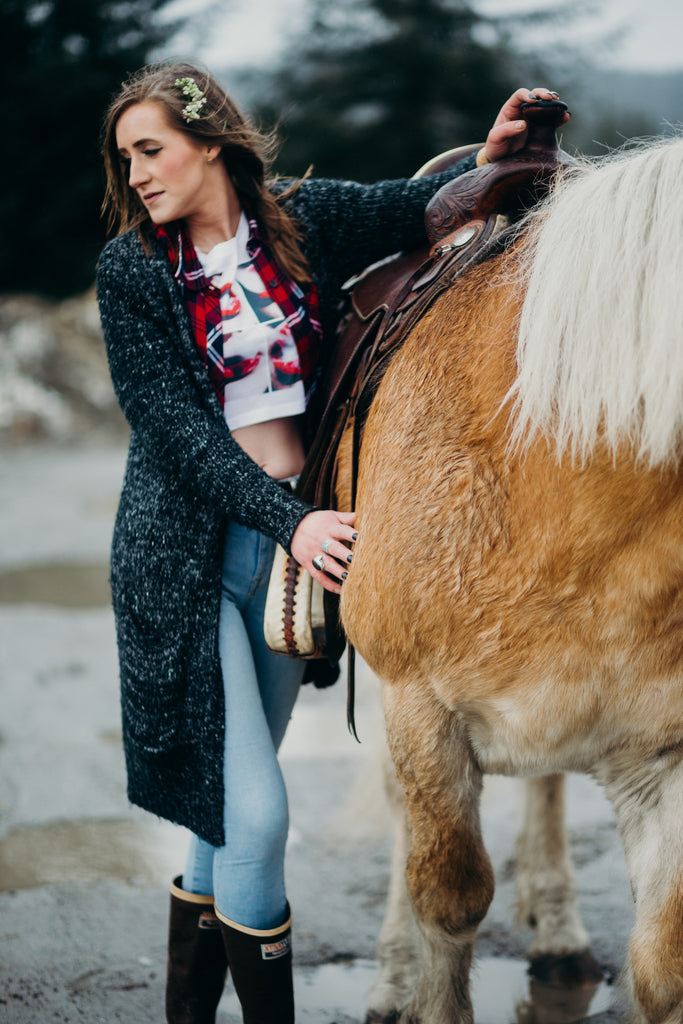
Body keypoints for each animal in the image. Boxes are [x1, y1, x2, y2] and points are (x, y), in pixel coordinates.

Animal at [337, 138, 683, 1024]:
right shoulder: (419, 706)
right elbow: (448, 896)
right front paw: (413, 981)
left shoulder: (662, 748)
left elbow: (662, 960)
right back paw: (390, 975)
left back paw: (557, 925)